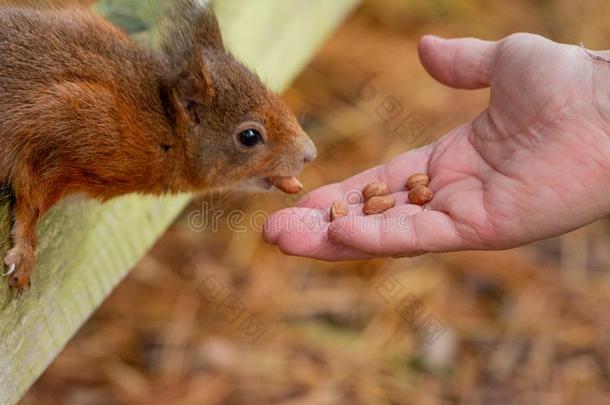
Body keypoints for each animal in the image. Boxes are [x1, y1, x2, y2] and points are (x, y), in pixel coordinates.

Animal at [0, 0, 316, 290]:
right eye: (249, 137)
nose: (309, 154)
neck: (163, 125)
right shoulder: (68, 123)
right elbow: (31, 193)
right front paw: (24, 252)